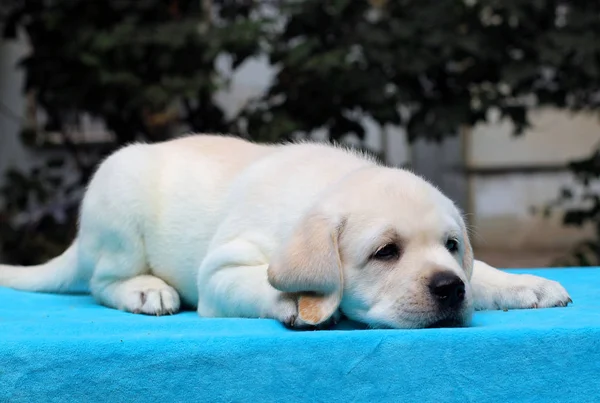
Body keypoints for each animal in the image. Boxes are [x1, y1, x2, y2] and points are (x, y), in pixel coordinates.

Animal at [0, 134, 572, 330]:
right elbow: (261, 281)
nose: (449, 289)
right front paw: (300, 302)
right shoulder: (220, 272)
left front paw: (525, 284)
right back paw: (145, 289)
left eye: (452, 246)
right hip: (119, 202)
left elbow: (483, 271)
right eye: (386, 252)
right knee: (102, 282)